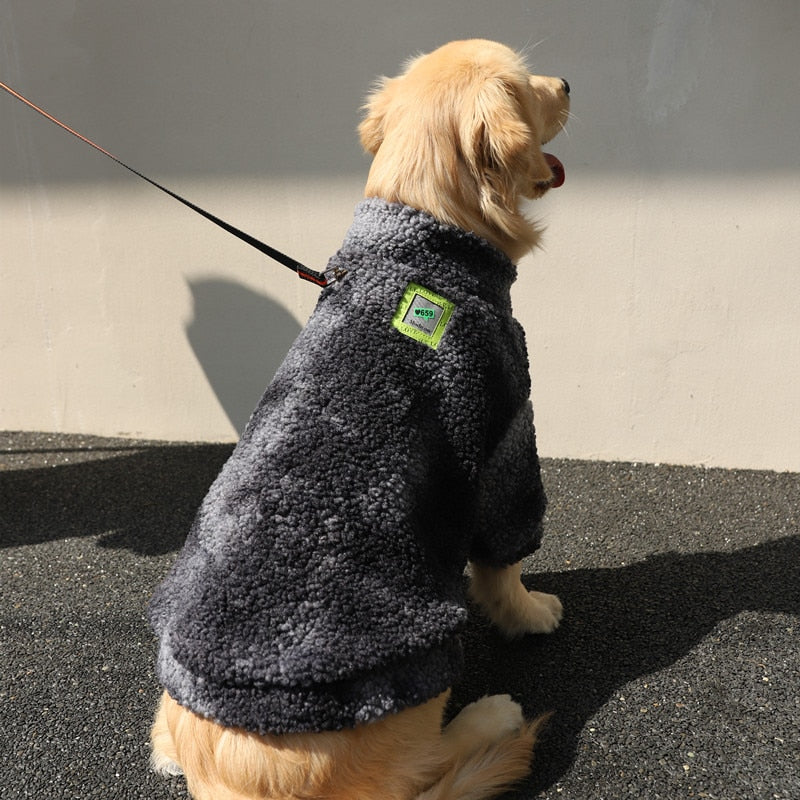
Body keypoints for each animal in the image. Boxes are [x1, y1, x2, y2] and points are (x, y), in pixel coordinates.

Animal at [147, 39, 564, 800]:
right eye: (530, 87)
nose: (571, 83)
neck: (418, 239)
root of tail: (225, 777)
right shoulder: (507, 438)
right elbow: (503, 563)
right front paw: (529, 612)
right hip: (411, 672)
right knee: (421, 768)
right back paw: (489, 716)